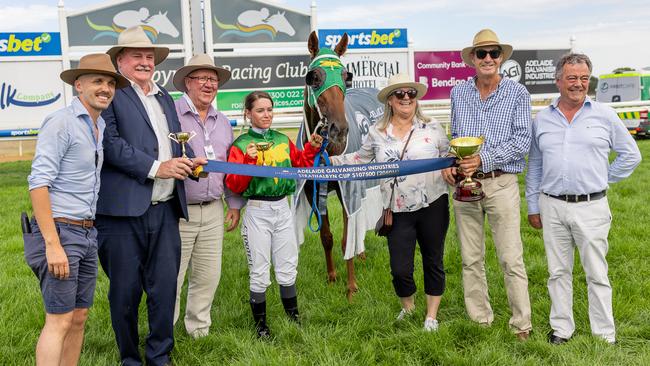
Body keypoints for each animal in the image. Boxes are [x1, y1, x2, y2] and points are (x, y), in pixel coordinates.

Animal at [294, 31, 384, 300]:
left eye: (346, 76)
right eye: (314, 77)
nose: (339, 129)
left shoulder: (348, 189)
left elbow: (346, 239)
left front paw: (351, 287)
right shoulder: (314, 191)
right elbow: (327, 237)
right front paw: (332, 277)